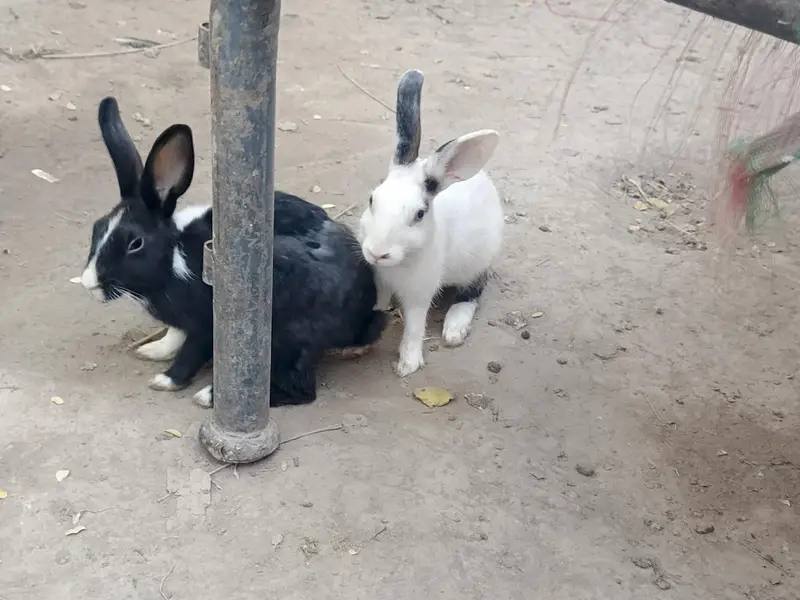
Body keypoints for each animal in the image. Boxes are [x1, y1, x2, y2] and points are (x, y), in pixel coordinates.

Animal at [81, 96, 387, 407]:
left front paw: (165, 381)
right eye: (97, 227)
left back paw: (209, 396)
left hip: (290, 331)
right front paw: (152, 351)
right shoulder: (182, 323)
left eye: (135, 244)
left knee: (300, 389)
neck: (173, 258)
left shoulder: (206, 323)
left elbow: (191, 353)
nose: (88, 282)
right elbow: (174, 337)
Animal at [357, 69, 503, 377]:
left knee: (472, 293)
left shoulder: (419, 293)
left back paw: (454, 329)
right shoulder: (379, 280)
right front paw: (361, 342)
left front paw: (407, 365)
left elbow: (414, 327)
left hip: (476, 265)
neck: (398, 265)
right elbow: (376, 306)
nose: (377, 253)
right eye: (372, 199)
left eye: (420, 214)